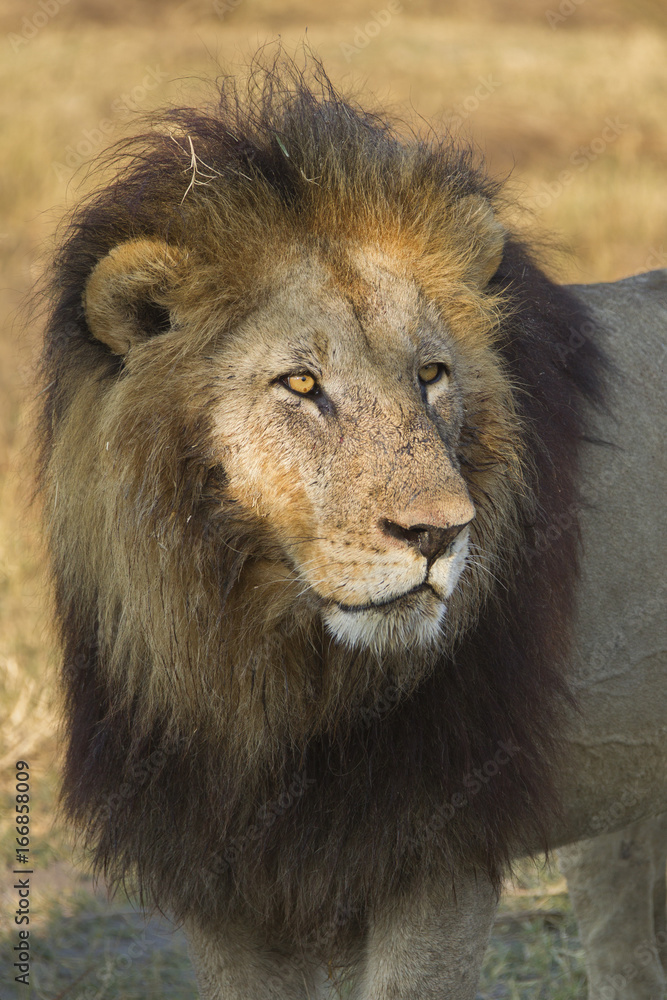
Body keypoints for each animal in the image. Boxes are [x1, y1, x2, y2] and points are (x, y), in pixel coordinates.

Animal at [37, 58, 667, 996]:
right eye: (301, 384)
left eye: (431, 374)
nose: (440, 534)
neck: (255, 670)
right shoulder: (221, 879)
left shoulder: (434, 850)